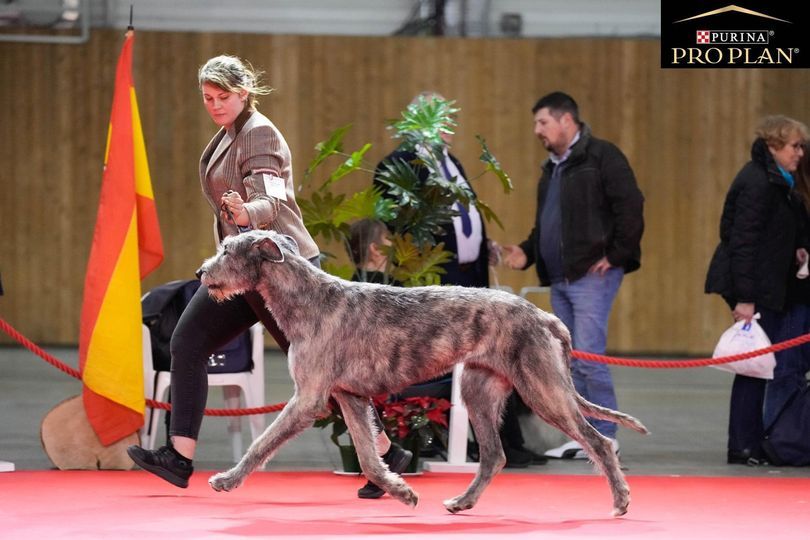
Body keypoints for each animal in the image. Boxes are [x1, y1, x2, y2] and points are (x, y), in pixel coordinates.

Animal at [199, 228, 648, 516]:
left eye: (227, 250)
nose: (202, 273)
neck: (309, 298)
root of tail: (542, 315)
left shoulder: (309, 397)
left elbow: (262, 443)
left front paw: (228, 479)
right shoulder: (349, 397)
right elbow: (368, 458)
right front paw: (401, 491)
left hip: (543, 390)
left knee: (598, 441)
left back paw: (621, 500)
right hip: (479, 390)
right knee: (494, 455)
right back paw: (463, 501)